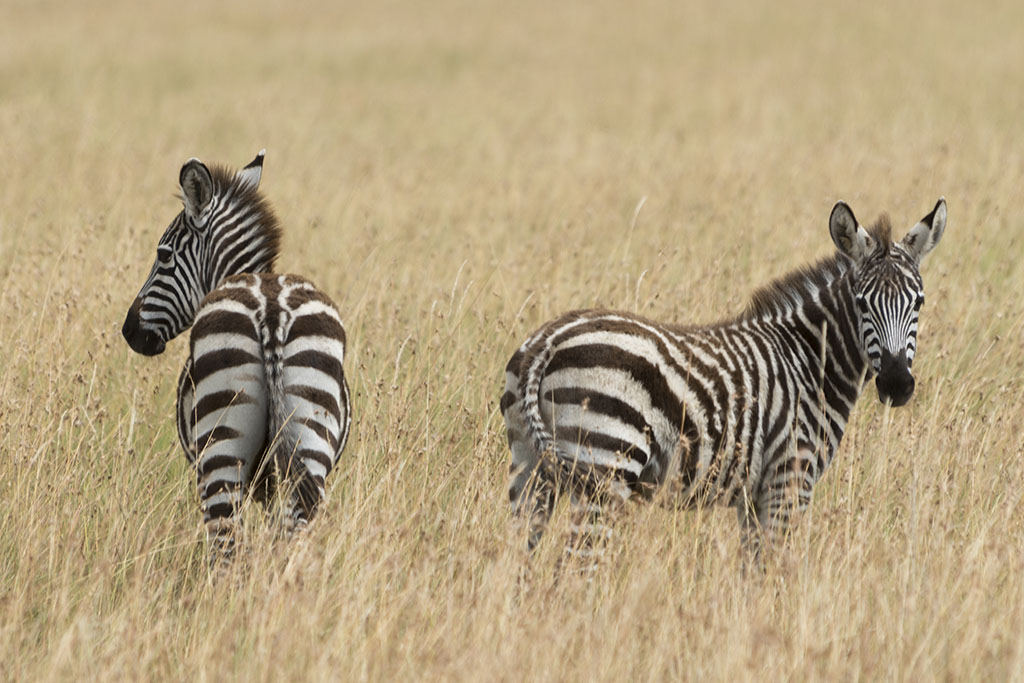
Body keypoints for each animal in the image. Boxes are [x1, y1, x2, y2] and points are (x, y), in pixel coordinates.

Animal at [122, 150, 351, 559]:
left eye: (163, 256)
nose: (129, 331)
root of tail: (271, 311)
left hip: (221, 455)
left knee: (225, 545)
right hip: (310, 445)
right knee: (294, 537)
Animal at [500, 198, 946, 557]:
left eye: (919, 303)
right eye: (861, 303)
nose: (896, 385)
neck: (807, 361)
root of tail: (548, 340)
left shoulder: (754, 496)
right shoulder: (788, 479)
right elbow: (773, 571)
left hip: (529, 468)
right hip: (607, 463)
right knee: (576, 566)